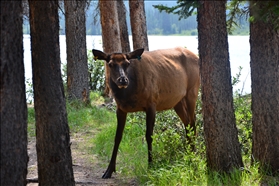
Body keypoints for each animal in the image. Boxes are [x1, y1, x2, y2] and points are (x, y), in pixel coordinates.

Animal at [92, 46, 201, 179]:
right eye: (111, 64)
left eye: (127, 63)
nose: (123, 80)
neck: (128, 95)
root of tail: (197, 56)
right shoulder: (120, 108)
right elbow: (117, 137)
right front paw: (109, 170)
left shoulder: (151, 103)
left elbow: (149, 136)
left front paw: (151, 166)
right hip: (177, 100)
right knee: (187, 123)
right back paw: (187, 152)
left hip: (192, 90)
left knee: (193, 124)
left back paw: (193, 154)